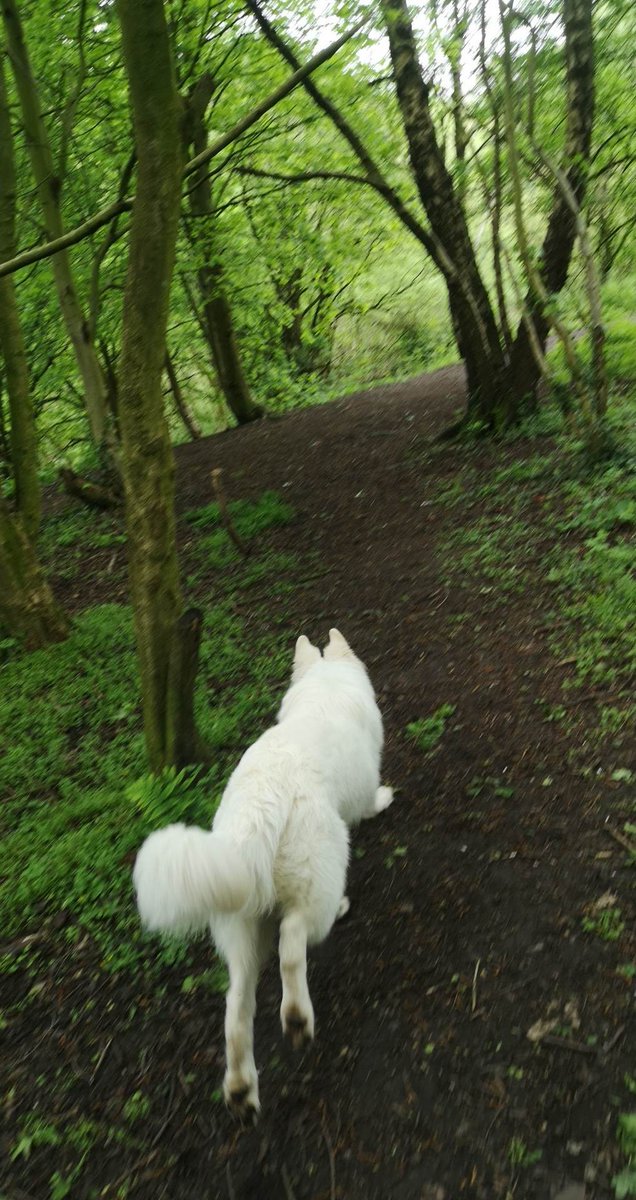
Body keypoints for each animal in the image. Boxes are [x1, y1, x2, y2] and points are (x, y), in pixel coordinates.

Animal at [132, 633, 391, 1118]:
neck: (325, 690)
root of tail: (256, 815)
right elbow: (370, 802)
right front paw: (384, 799)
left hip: (239, 932)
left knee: (236, 1011)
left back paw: (240, 1088)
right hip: (315, 882)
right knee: (292, 944)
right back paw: (298, 1017)